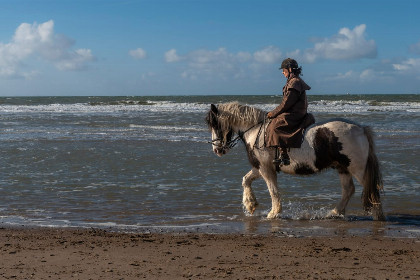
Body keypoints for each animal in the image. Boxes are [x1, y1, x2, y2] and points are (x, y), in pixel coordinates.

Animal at [205, 101, 386, 221]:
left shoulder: (266, 169)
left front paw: (273, 213)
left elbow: (273, 191)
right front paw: (251, 204)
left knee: (371, 187)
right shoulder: (259, 168)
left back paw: (378, 215)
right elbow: (245, 180)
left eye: (215, 124)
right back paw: (335, 212)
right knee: (348, 190)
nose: (217, 150)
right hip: (342, 168)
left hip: (357, 168)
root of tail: (361, 129)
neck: (256, 131)